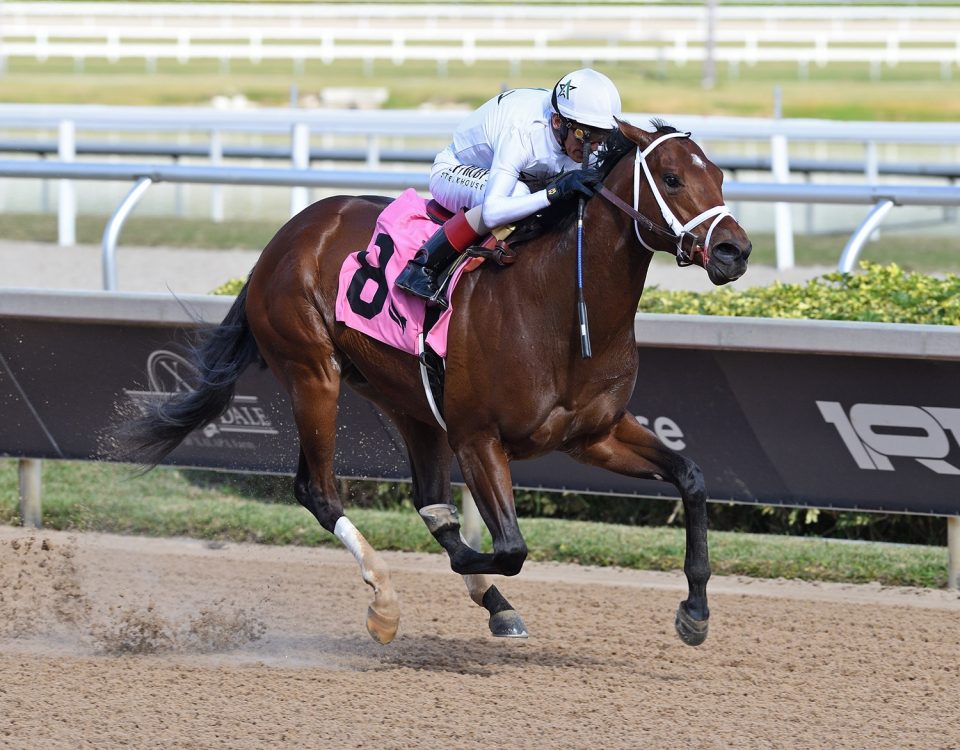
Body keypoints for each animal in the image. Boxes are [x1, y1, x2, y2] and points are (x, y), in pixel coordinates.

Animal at [120, 120, 752, 648]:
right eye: (672, 178)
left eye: (720, 175)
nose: (735, 250)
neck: (556, 308)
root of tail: (287, 234)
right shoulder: (478, 438)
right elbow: (509, 547)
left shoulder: (594, 434)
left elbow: (691, 478)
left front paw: (695, 612)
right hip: (312, 373)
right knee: (320, 491)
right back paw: (385, 600)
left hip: (408, 402)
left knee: (428, 501)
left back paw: (491, 603)